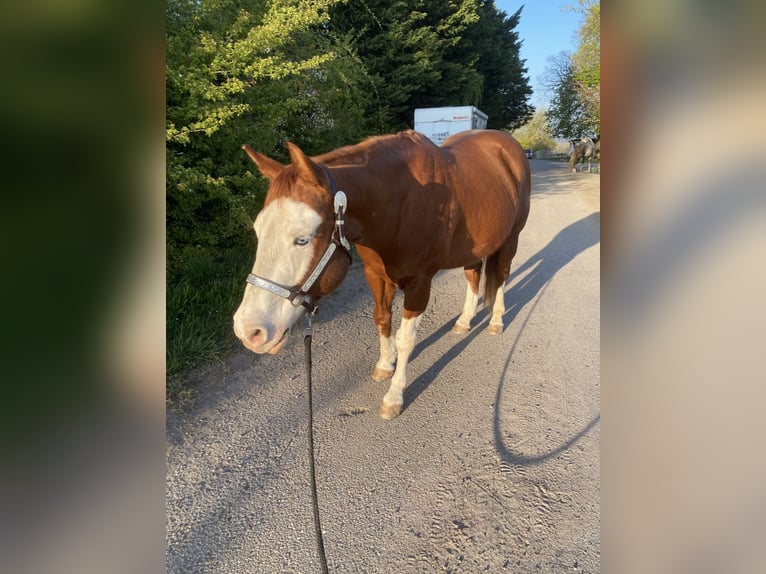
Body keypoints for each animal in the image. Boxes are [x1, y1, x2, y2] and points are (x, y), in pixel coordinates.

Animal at [233, 129, 531, 419]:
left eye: (302, 239)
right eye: (258, 231)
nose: (249, 331)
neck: (398, 204)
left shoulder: (419, 284)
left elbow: (405, 339)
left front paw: (393, 397)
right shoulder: (375, 276)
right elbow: (382, 320)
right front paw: (385, 365)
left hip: (510, 239)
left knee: (501, 275)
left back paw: (496, 321)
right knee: (473, 275)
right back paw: (464, 321)